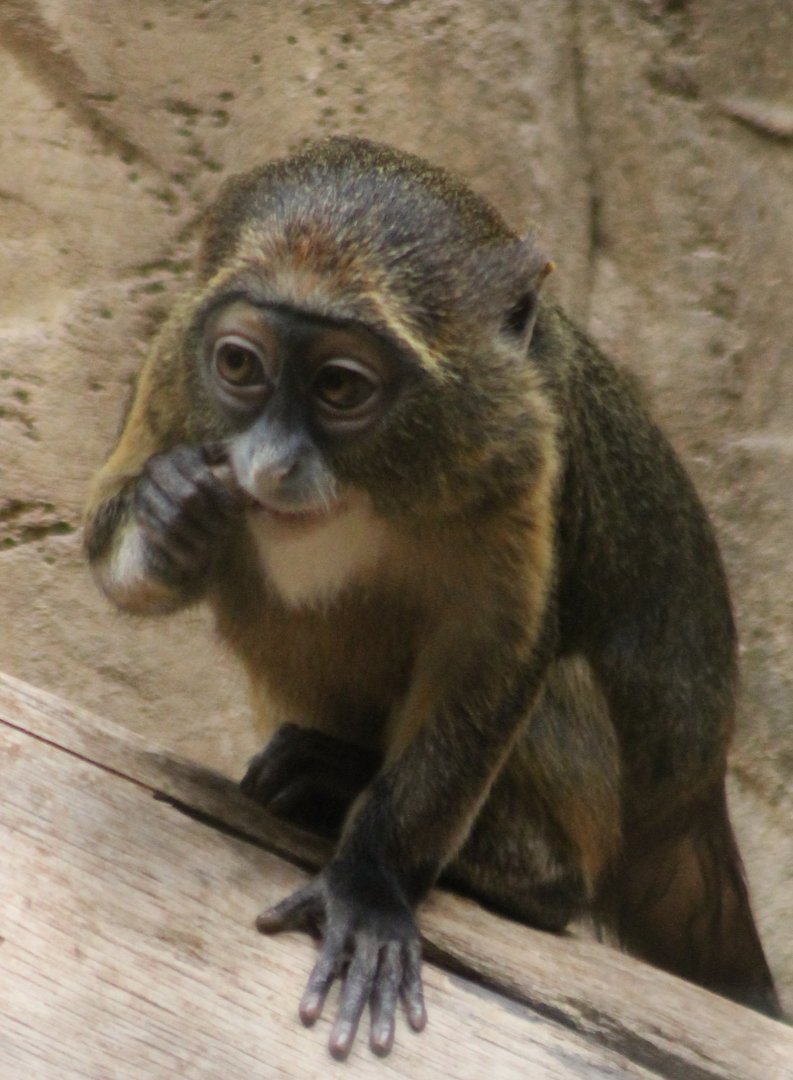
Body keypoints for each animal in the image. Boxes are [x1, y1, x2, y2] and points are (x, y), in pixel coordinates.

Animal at [84, 135, 782, 1057]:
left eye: (341, 386)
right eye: (238, 365)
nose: (268, 465)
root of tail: (694, 792)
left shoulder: (527, 450)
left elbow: (492, 656)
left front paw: (372, 885)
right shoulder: (171, 368)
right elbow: (107, 532)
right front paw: (170, 511)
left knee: (557, 717)